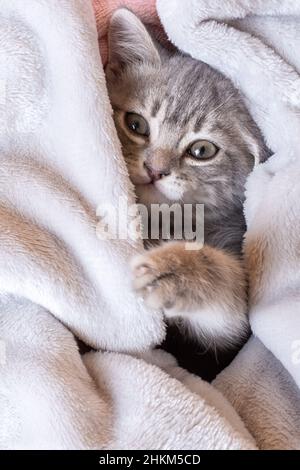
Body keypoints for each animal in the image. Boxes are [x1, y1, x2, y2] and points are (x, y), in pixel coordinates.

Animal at [104, 9, 268, 356]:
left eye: (202, 151)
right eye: (136, 125)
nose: (155, 169)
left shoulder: (230, 335)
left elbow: (230, 306)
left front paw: (178, 268)